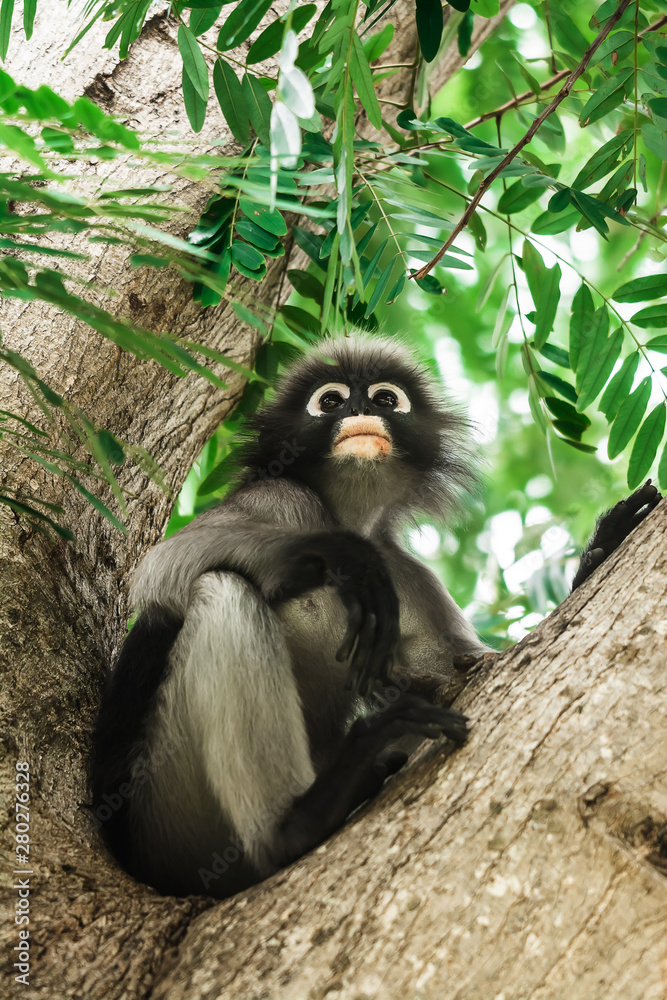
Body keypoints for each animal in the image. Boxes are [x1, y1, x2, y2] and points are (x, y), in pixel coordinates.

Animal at [91, 334, 662, 899]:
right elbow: (160, 568)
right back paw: (297, 822)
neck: (343, 514)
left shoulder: (408, 575)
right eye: (330, 401)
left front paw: (598, 557)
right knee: (222, 587)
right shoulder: (282, 498)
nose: (361, 410)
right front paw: (349, 561)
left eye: (386, 399)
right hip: (169, 814)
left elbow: (471, 668)